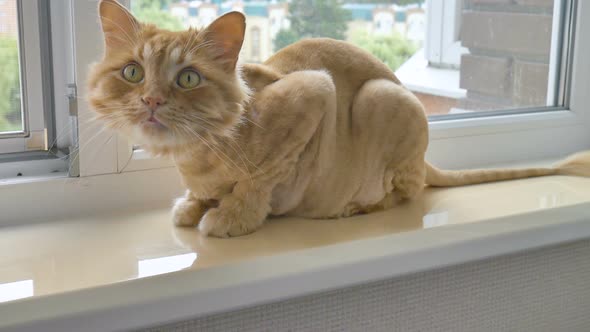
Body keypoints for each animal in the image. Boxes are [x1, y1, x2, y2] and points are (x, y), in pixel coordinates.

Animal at [89, 1, 590, 237]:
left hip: (382, 100)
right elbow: (199, 195)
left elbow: (256, 182)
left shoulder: (313, 92)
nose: (151, 100)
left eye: (188, 78)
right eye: (132, 73)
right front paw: (195, 204)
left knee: (405, 192)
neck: (196, 156)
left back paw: (354, 206)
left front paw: (231, 215)